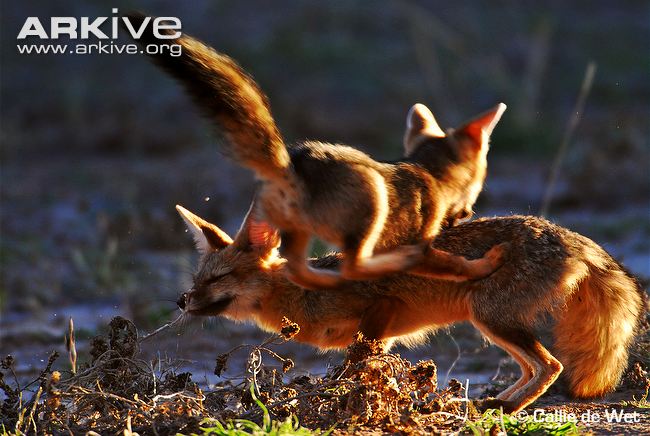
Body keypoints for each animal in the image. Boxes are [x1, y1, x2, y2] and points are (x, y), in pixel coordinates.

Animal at [128, 14, 506, 290]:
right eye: (481, 182)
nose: (468, 213)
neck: (427, 171)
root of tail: (292, 162)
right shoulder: (425, 243)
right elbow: (453, 263)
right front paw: (482, 266)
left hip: (295, 234)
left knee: (299, 271)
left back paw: (327, 280)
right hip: (371, 203)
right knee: (354, 266)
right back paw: (386, 265)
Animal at [172, 203, 644, 414]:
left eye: (216, 280)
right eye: (197, 280)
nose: (183, 300)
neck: (299, 292)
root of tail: (572, 237)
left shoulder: (379, 310)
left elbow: (356, 366)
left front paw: (342, 401)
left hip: (490, 319)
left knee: (551, 366)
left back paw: (504, 409)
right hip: (490, 323)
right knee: (535, 368)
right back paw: (490, 404)